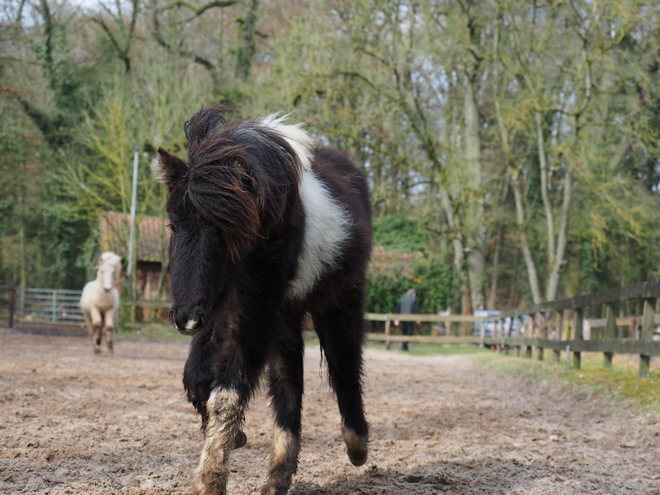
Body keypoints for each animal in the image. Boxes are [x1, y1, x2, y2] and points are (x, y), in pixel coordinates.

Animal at [155, 105, 372, 495]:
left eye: (225, 230)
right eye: (173, 225)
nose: (186, 320)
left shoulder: (253, 313)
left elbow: (227, 393)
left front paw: (210, 479)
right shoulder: (220, 312)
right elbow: (196, 379)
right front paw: (234, 438)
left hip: (338, 301)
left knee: (344, 362)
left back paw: (356, 445)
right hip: (284, 319)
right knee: (289, 385)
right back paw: (277, 476)